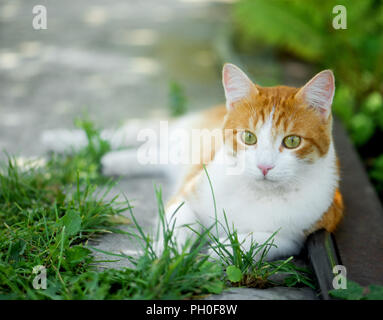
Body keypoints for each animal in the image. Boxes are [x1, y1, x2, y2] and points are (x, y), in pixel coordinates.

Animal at [41, 62, 344, 260]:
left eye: (292, 141)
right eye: (249, 137)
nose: (264, 166)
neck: (257, 192)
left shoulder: (299, 235)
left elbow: (263, 241)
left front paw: (223, 250)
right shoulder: (188, 194)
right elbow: (179, 222)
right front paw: (169, 253)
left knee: (149, 154)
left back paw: (108, 162)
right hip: (172, 132)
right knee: (125, 133)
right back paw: (62, 141)